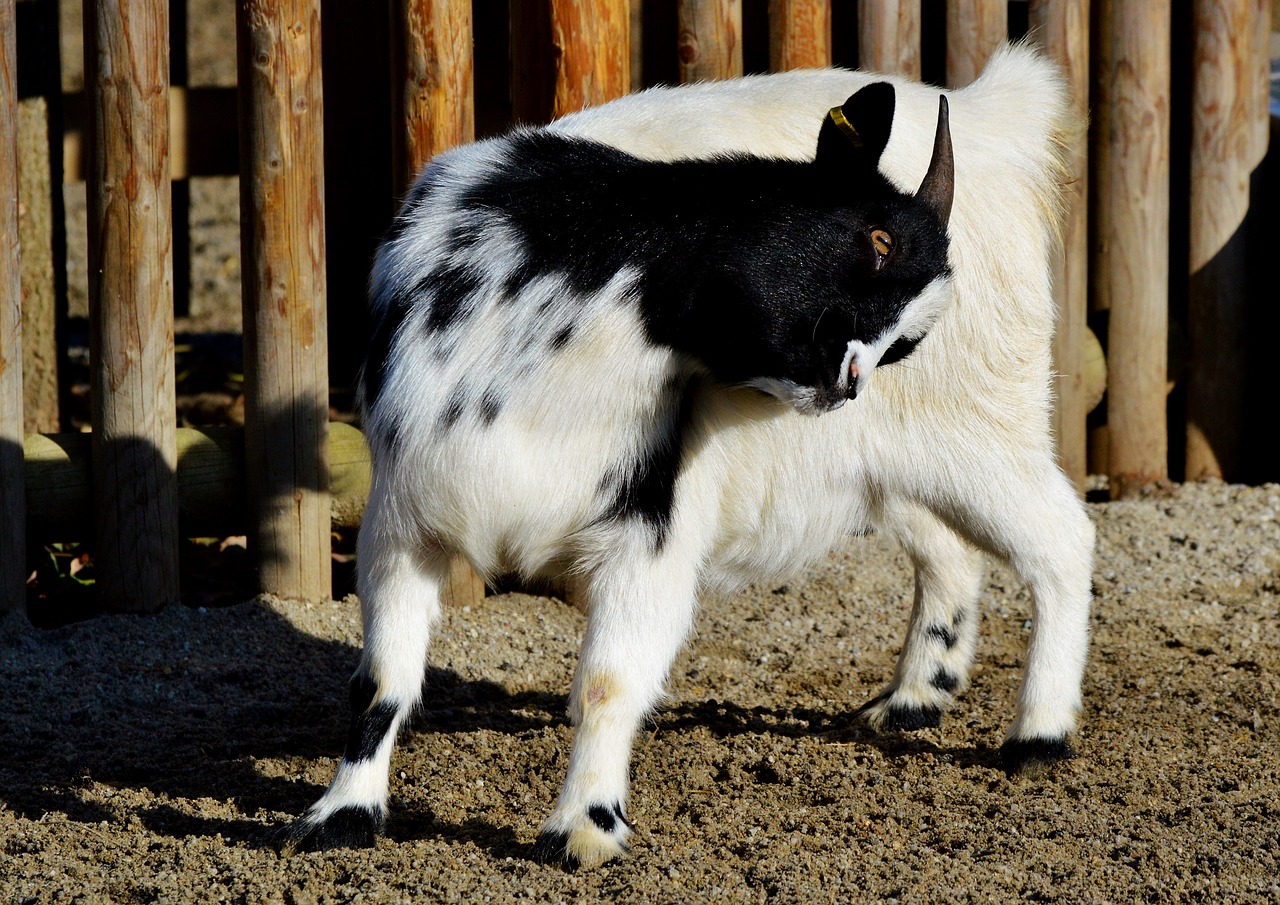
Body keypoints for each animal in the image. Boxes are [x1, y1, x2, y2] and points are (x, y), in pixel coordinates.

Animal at [282, 40, 1093, 871]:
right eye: (878, 239)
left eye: (907, 340)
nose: (847, 380)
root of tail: (995, 115)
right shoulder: (404, 513)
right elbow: (380, 679)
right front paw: (342, 814)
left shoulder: (653, 526)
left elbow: (609, 680)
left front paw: (584, 826)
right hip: (892, 458)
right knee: (948, 551)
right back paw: (914, 698)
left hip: (982, 426)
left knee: (1061, 538)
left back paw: (1039, 733)